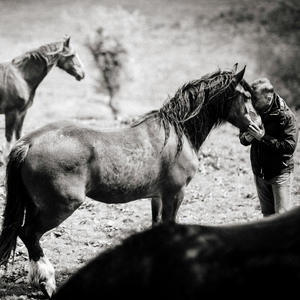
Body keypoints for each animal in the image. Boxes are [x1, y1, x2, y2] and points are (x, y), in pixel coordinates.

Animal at [0, 64, 262, 296]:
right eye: (247, 96)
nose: (259, 127)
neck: (177, 134)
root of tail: (29, 143)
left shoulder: (157, 197)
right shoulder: (174, 194)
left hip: (37, 205)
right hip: (59, 207)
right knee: (29, 233)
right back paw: (47, 283)